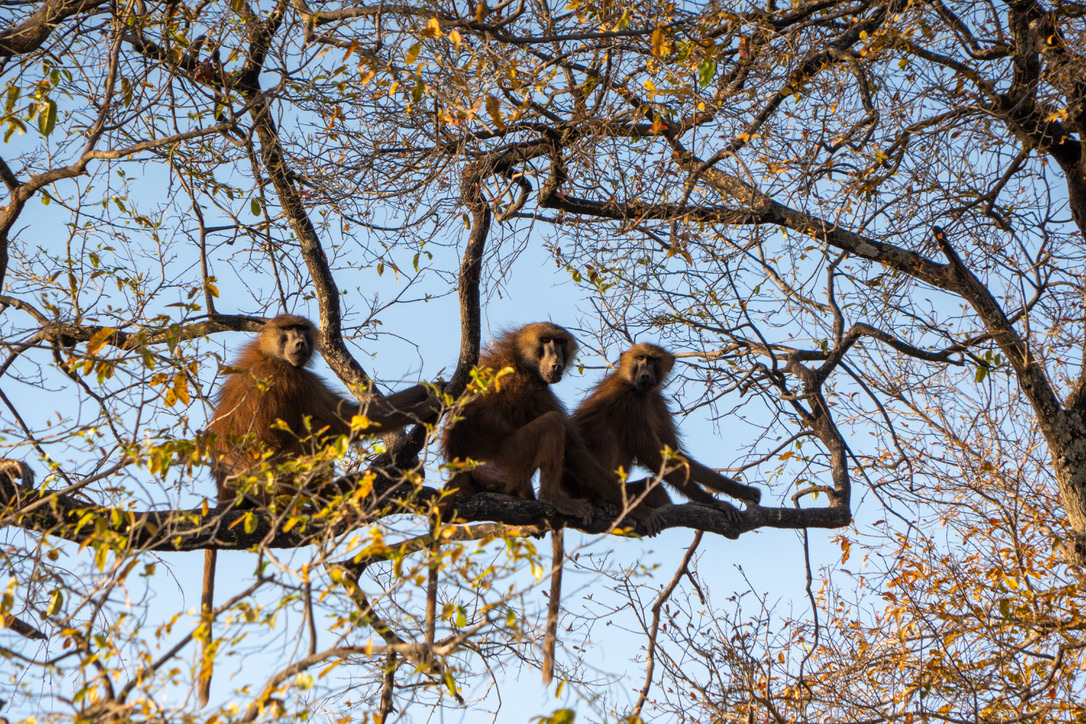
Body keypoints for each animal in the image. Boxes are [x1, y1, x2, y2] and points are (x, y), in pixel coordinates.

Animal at [200, 314, 438, 705]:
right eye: (288, 331)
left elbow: (350, 416)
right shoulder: (293, 380)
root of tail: (225, 488)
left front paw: (429, 389)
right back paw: (341, 490)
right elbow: (342, 422)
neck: (271, 354)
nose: (300, 342)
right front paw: (426, 407)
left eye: (301, 330)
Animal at [440, 323, 662, 685]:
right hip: (508, 460)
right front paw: (638, 509)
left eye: (559, 343)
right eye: (545, 342)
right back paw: (553, 501)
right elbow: (573, 450)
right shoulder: (530, 388)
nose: (556, 362)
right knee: (552, 425)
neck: (518, 357)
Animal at [572, 343, 761, 521]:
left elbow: (674, 454)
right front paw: (714, 503)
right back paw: (602, 502)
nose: (645, 374)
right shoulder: (630, 400)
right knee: (606, 435)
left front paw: (741, 491)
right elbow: (651, 454)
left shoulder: (657, 401)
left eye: (652, 360)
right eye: (640, 358)